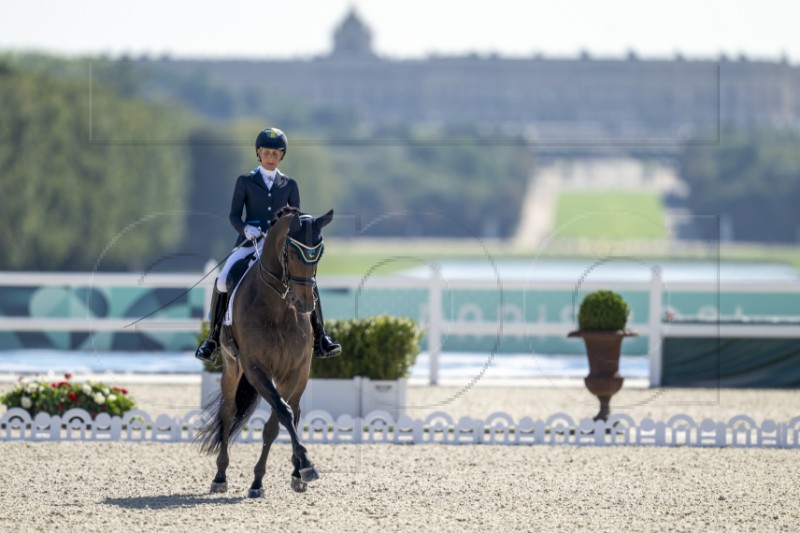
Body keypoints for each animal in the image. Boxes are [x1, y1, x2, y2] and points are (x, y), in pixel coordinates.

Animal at [200, 206, 338, 496]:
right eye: (293, 252)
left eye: (318, 253)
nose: (305, 304)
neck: (279, 307)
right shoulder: (256, 369)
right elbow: (281, 413)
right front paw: (306, 464)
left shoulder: (295, 371)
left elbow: (278, 422)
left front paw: (293, 470)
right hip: (232, 367)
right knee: (228, 413)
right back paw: (220, 477)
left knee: (294, 412)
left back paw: (295, 473)